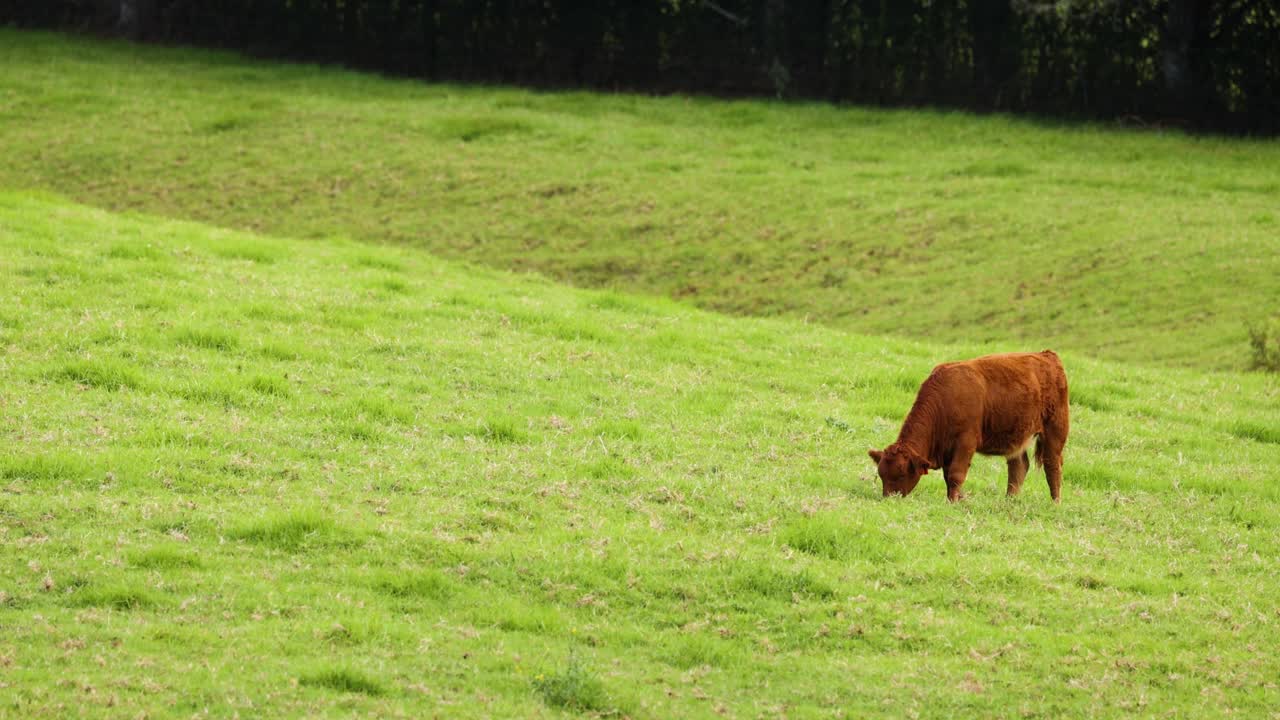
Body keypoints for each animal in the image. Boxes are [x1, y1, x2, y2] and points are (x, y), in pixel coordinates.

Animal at [870, 348, 1070, 499]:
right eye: (881, 474)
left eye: (902, 473)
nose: (889, 498)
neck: (945, 399)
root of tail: (1046, 355)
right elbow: (948, 476)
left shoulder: (966, 442)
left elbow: (956, 475)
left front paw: (953, 502)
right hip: (1017, 436)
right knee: (1019, 467)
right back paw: (1009, 501)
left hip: (1055, 429)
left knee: (1052, 466)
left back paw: (1055, 503)